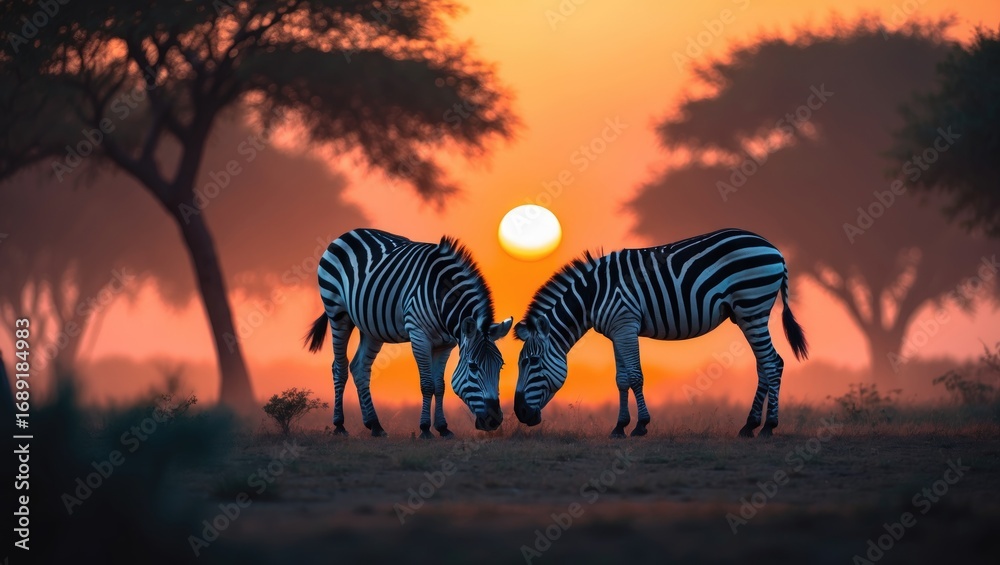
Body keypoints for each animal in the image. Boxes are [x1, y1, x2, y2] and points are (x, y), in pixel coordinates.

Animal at [304, 229, 512, 438]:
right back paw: (340, 425)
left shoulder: (446, 344)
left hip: (370, 328)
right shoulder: (419, 336)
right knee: (339, 367)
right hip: (337, 312)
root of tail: (349, 233)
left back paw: (375, 425)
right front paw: (425, 429)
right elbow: (427, 385)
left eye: (500, 366)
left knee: (359, 368)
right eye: (473, 367)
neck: (442, 297)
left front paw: (443, 428)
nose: (494, 420)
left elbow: (440, 385)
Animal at [513, 228, 808, 439]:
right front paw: (619, 427)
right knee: (764, 365)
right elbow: (621, 379)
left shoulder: (626, 324)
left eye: (532, 362)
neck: (592, 295)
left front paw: (640, 425)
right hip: (748, 314)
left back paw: (768, 426)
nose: (519, 412)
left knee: (773, 363)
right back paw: (750, 425)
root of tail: (773, 248)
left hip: (752, 306)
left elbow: (635, 376)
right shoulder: (617, 331)